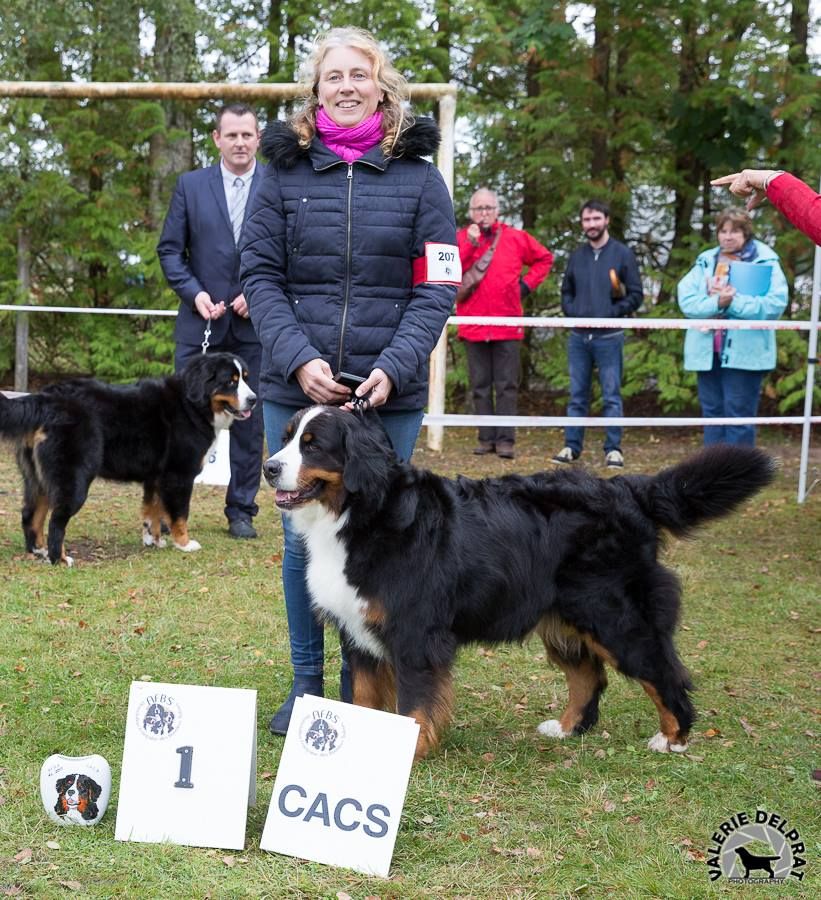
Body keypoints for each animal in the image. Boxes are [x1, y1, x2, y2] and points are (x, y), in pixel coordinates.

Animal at [0, 356, 255, 568]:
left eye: (245, 377)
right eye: (231, 382)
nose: (253, 399)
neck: (191, 405)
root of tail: (47, 398)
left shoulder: (156, 477)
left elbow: (153, 511)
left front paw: (154, 541)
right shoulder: (178, 475)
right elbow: (179, 514)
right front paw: (184, 543)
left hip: (37, 478)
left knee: (30, 515)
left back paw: (39, 551)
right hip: (74, 478)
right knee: (56, 520)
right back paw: (59, 559)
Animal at [262, 406, 776, 760]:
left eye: (313, 445)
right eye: (286, 439)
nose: (269, 467)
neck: (360, 514)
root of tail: (629, 490)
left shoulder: (414, 633)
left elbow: (415, 703)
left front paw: (410, 750)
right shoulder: (359, 632)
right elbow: (366, 697)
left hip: (616, 618)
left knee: (664, 673)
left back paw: (673, 738)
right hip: (566, 618)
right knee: (589, 676)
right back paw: (566, 728)